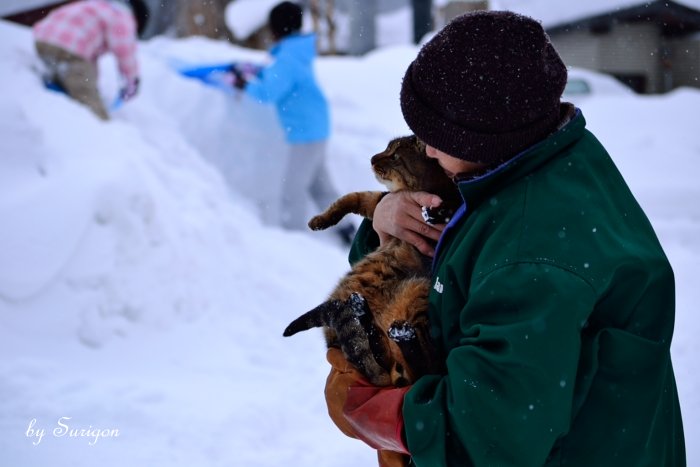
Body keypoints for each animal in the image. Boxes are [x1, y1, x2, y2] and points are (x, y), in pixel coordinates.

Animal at [282, 135, 462, 388]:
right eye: (386, 148)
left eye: (395, 156)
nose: (373, 158)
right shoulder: (382, 201)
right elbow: (352, 197)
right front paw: (319, 220)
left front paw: (440, 212)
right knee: (387, 359)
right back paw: (366, 316)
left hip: (417, 289)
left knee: (421, 366)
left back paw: (397, 333)